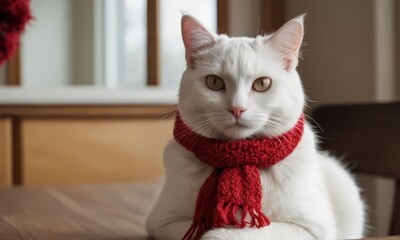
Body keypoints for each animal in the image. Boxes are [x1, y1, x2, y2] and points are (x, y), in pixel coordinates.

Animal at [147, 15, 366, 240]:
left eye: (262, 84)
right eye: (214, 82)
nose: (237, 108)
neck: (241, 159)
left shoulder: (313, 228)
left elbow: (246, 231)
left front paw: (224, 230)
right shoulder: (161, 222)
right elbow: (202, 228)